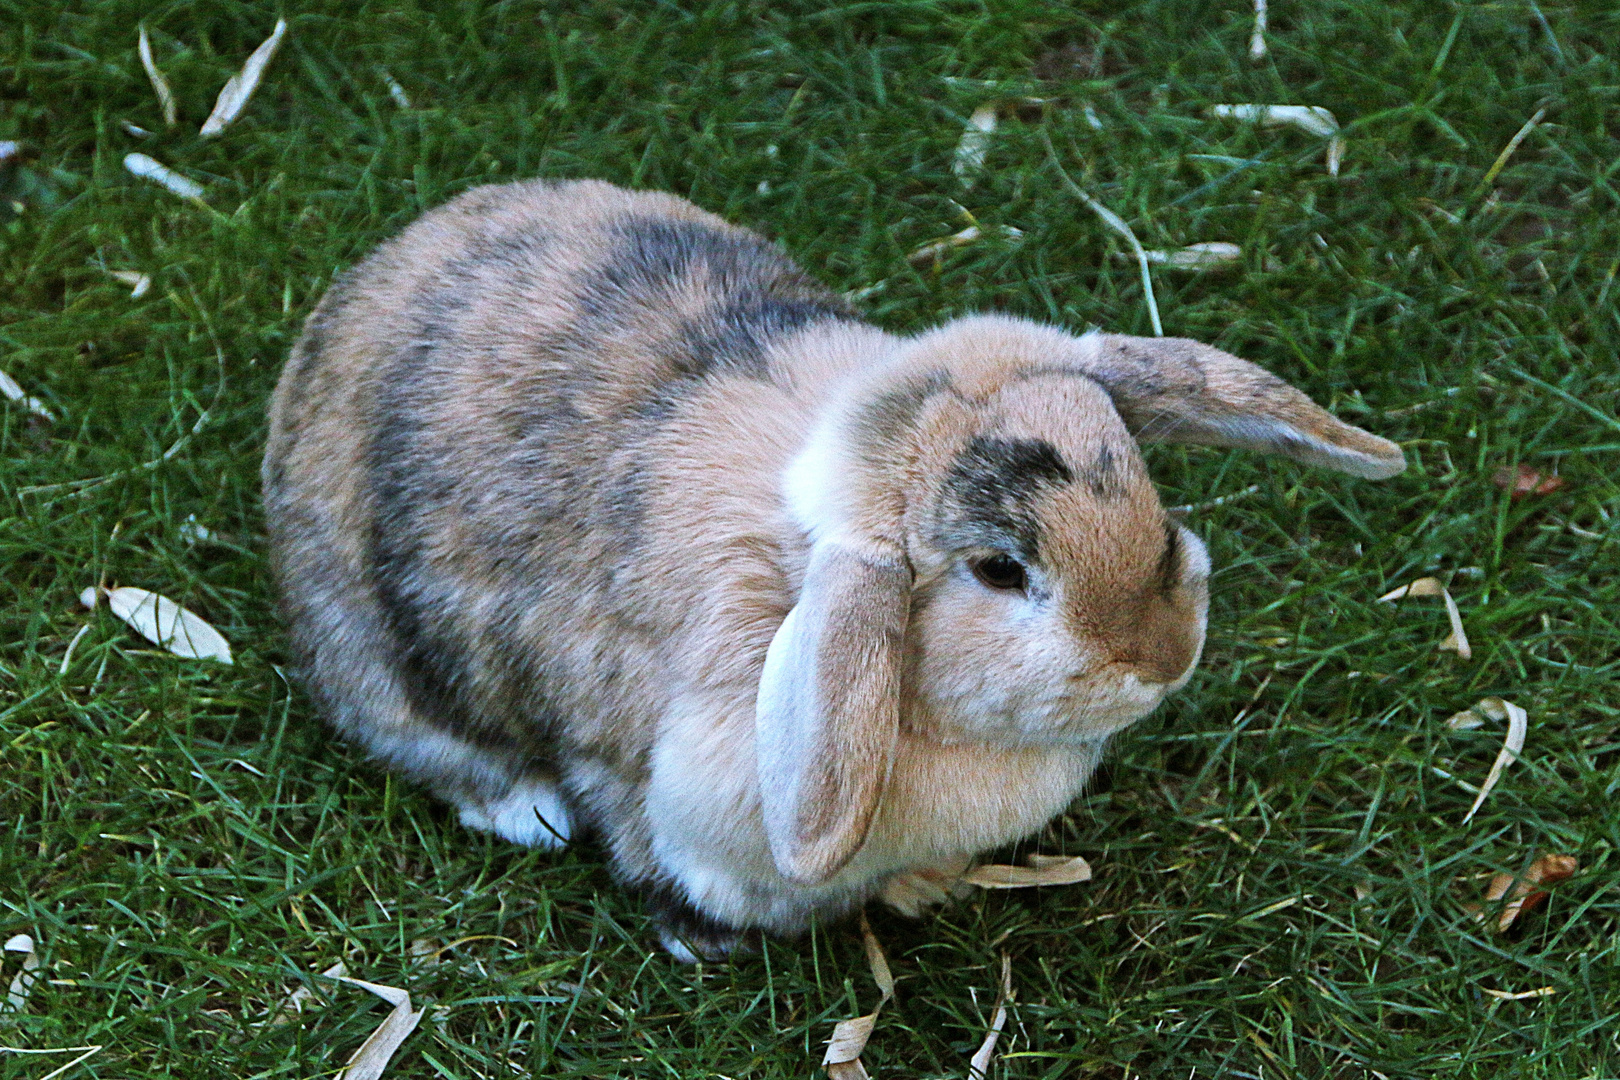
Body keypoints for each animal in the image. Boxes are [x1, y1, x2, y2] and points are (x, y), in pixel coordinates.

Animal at [262, 179, 1406, 965]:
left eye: (1136, 475)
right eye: (999, 570)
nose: (1164, 657)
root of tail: (356, 296)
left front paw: (924, 888)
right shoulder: (627, 764)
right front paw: (703, 940)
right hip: (376, 656)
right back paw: (522, 812)